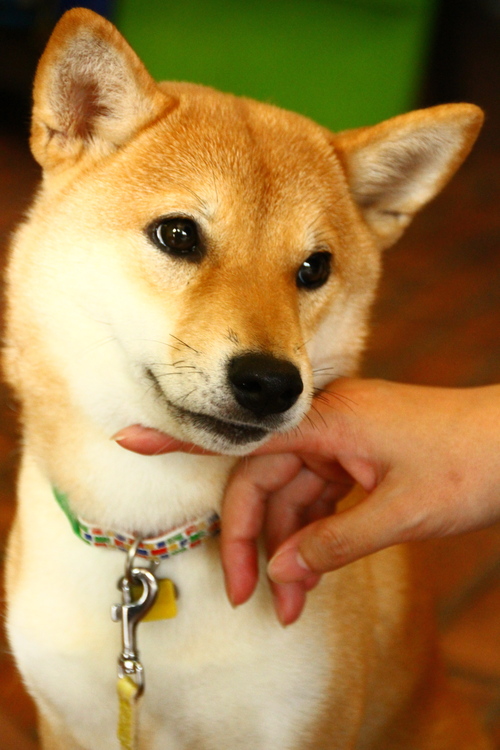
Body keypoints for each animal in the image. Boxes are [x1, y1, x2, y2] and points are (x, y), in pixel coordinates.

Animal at [1, 7, 490, 750]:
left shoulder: (301, 725)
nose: (271, 382)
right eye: (177, 235)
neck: (147, 539)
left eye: (315, 267)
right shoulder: (68, 723)